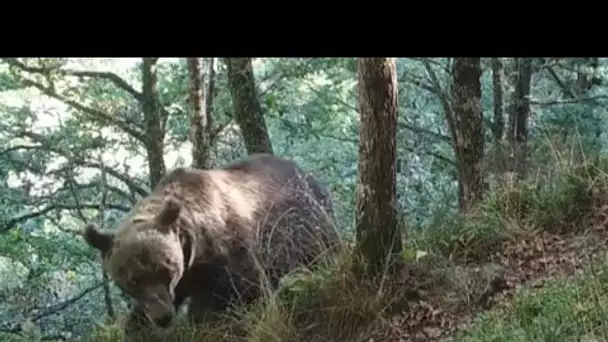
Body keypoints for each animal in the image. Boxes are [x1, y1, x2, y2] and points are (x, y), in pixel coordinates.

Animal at [82, 154, 338, 336]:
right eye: (132, 281)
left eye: (166, 269)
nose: (162, 317)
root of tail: (306, 173)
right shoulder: (183, 278)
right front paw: (138, 326)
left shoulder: (227, 254)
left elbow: (245, 292)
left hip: (309, 226)